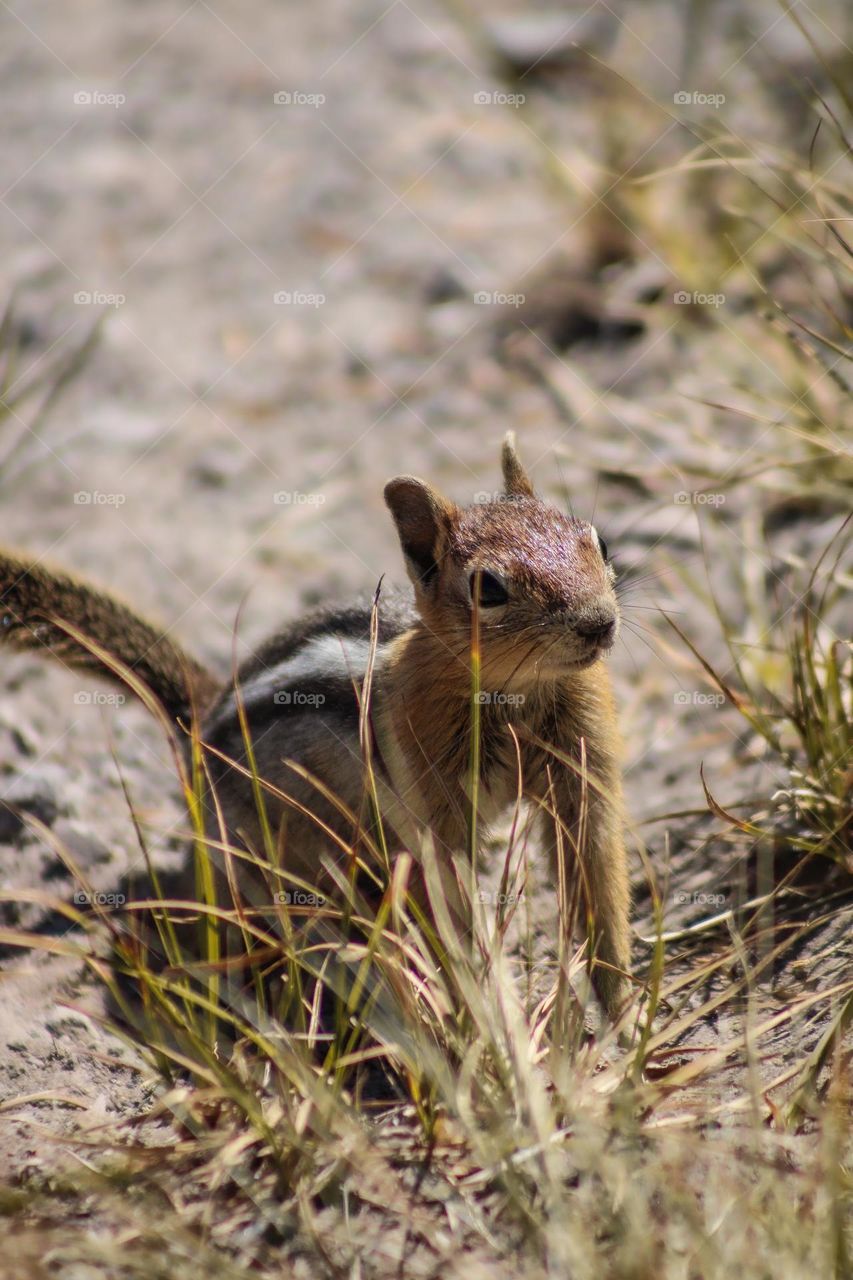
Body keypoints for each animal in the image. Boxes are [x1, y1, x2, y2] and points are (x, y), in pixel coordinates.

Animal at [0, 436, 631, 1015]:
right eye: (488, 589)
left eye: (597, 539)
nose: (598, 623)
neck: (517, 692)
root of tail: (200, 722)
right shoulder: (429, 802)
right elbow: (446, 892)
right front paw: (482, 1005)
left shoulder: (582, 766)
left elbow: (597, 866)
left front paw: (618, 1006)